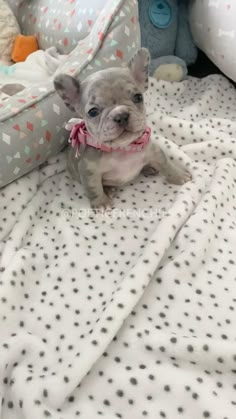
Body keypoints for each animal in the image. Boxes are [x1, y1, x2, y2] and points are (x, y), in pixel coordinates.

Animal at [54, 48, 191, 210]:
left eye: (138, 97)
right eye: (93, 112)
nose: (121, 115)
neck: (122, 149)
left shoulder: (155, 152)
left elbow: (166, 165)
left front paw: (178, 175)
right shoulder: (88, 171)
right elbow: (94, 188)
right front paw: (101, 203)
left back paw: (148, 168)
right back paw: (109, 189)